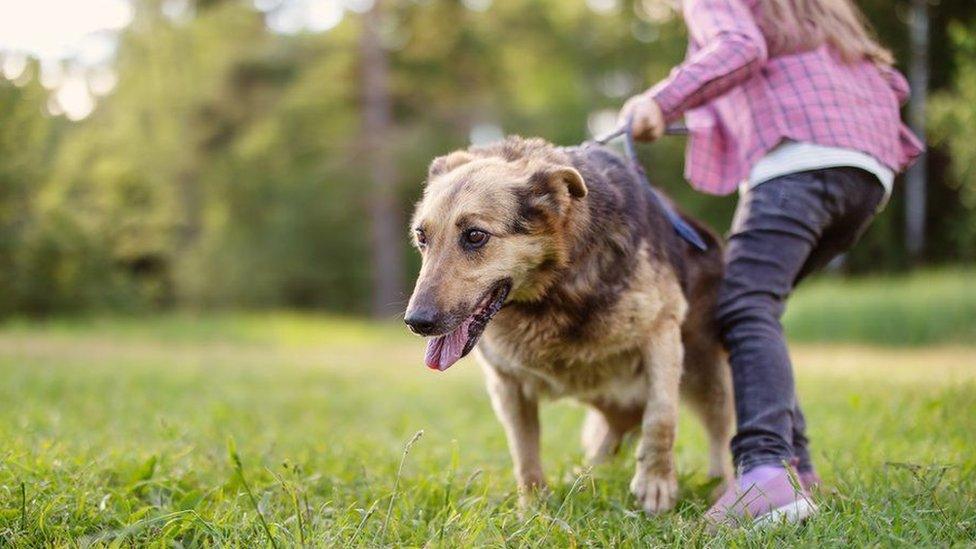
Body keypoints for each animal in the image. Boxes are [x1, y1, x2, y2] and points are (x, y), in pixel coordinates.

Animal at [402, 135, 732, 512]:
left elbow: (661, 417)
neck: (554, 288)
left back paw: (724, 489)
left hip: (704, 377)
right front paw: (532, 509)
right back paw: (587, 477)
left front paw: (656, 484)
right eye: (422, 237)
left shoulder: (661, 332)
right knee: (612, 437)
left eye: (475, 236)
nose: (416, 322)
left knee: (718, 435)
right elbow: (524, 453)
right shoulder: (507, 385)